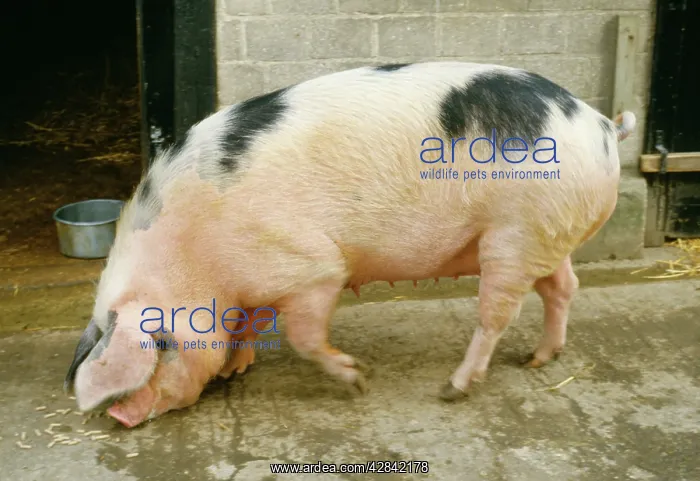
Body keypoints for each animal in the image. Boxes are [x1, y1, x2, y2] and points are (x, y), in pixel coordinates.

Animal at [63, 61, 636, 427]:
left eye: (161, 346)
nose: (120, 416)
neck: (194, 254)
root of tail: (603, 126)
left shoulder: (311, 267)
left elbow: (303, 334)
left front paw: (358, 379)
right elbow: (247, 321)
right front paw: (233, 370)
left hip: (514, 235)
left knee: (496, 315)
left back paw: (453, 388)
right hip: (546, 232)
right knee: (563, 286)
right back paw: (540, 360)